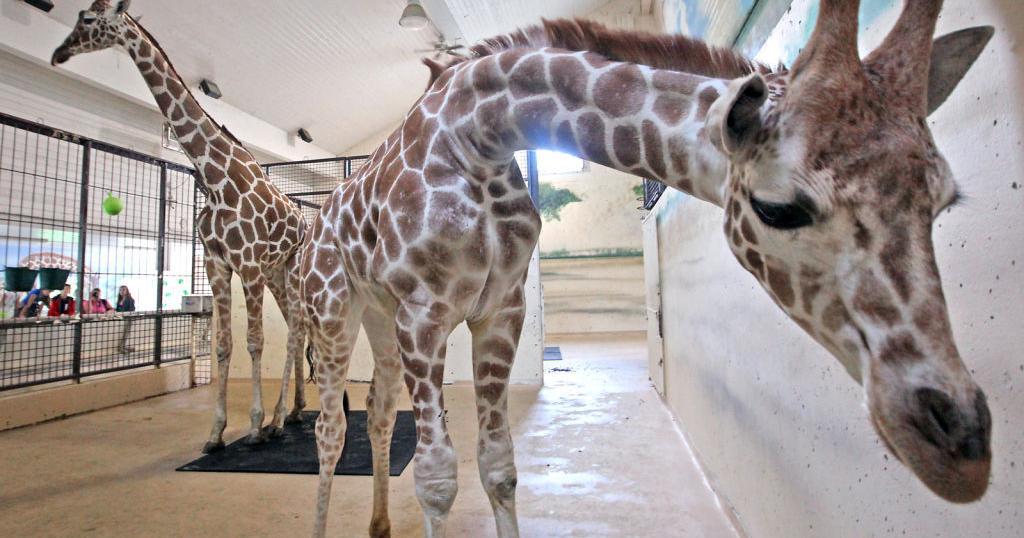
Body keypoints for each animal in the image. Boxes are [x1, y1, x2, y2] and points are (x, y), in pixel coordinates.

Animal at [52, 0, 310, 451]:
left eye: (88, 19)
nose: (59, 53)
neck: (215, 178)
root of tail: (304, 222)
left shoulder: (247, 264)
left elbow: (255, 342)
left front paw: (254, 427)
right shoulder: (217, 263)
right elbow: (223, 346)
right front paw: (216, 433)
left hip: (288, 269)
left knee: (296, 331)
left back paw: (278, 419)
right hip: (276, 274)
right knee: (297, 331)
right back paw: (293, 412)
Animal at [302, 1, 994, 535]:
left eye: (943, 202)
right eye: (777, 207)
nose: (961, 446)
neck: (480, 139)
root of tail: (318, 217)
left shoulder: (499, 310)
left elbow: (498, 464)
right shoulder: (426, 314)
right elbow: (437, 476)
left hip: (380, 320)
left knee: (379, 413)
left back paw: (378, 524)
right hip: (335, 314)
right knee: (332, 428)